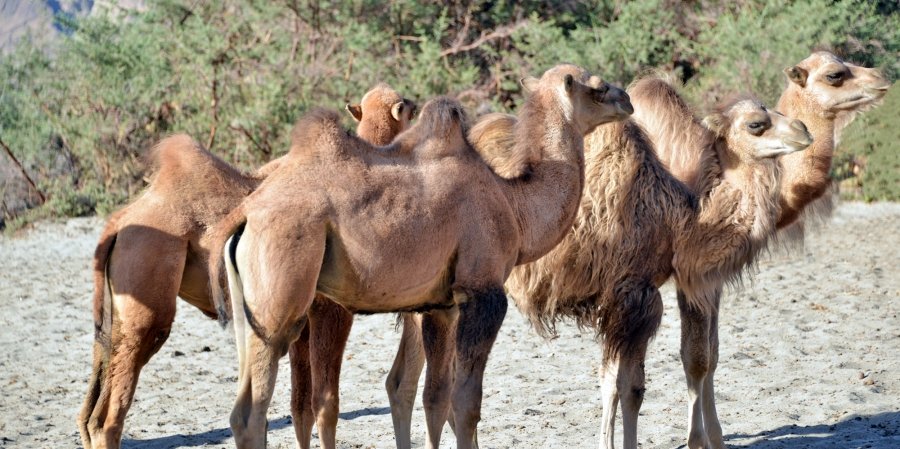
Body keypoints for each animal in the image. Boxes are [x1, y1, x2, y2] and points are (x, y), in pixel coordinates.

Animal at [76, 84, 414, 448]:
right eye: (409, 107)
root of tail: (119, 221)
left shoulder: (299, 324)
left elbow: (300, 407)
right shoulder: (330, 312)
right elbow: (326, 403)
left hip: (112, 315)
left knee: (89, 411)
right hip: (148, 291)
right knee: (109, 416)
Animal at [209, 64, 632, 448]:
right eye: (597, 87)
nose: (626, 99)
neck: (514, 204)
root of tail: (245, 213)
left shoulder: (440, 306)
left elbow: (435, 399)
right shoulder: (483, 292)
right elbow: (466, 403)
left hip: (251, 314)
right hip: (281, 300)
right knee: (253, 412)